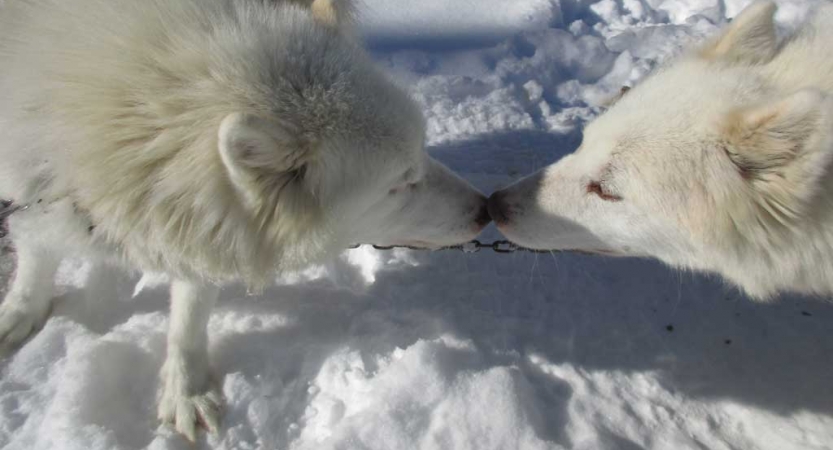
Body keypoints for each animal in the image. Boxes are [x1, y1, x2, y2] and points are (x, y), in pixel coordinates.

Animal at [0, 0, 488, 440]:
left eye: (421, 152)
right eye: (401, 183)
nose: (485, 209)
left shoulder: (204, 226)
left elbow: (189, 316)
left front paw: (186, 391)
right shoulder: (30, 183)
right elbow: (35, 253)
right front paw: (20, 312)